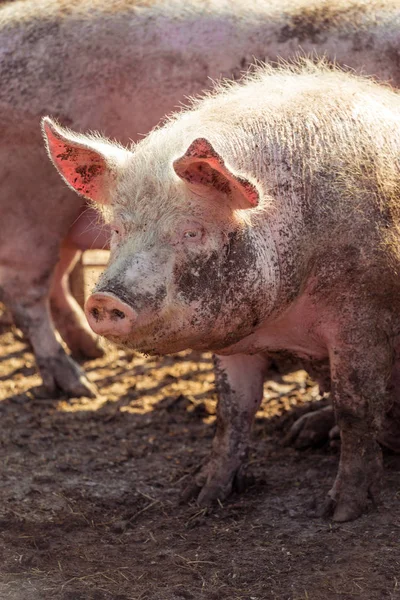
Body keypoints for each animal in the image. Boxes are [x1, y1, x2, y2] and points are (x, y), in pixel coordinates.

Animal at [0, 0, 400, 398]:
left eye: (192, 233)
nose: (106, 301)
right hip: (30, 207)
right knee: (25, 292)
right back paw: (78, 385)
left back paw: (91, 351)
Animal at [41, 58, 400, 524]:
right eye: (118, 230)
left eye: (191, 231)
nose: (105, 300)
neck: (286, 326)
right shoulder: (234, 338)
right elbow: (232, 411)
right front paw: (198, 495)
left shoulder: (364, 315)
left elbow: (356, 405)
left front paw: (338, 512)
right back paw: (299, 435)